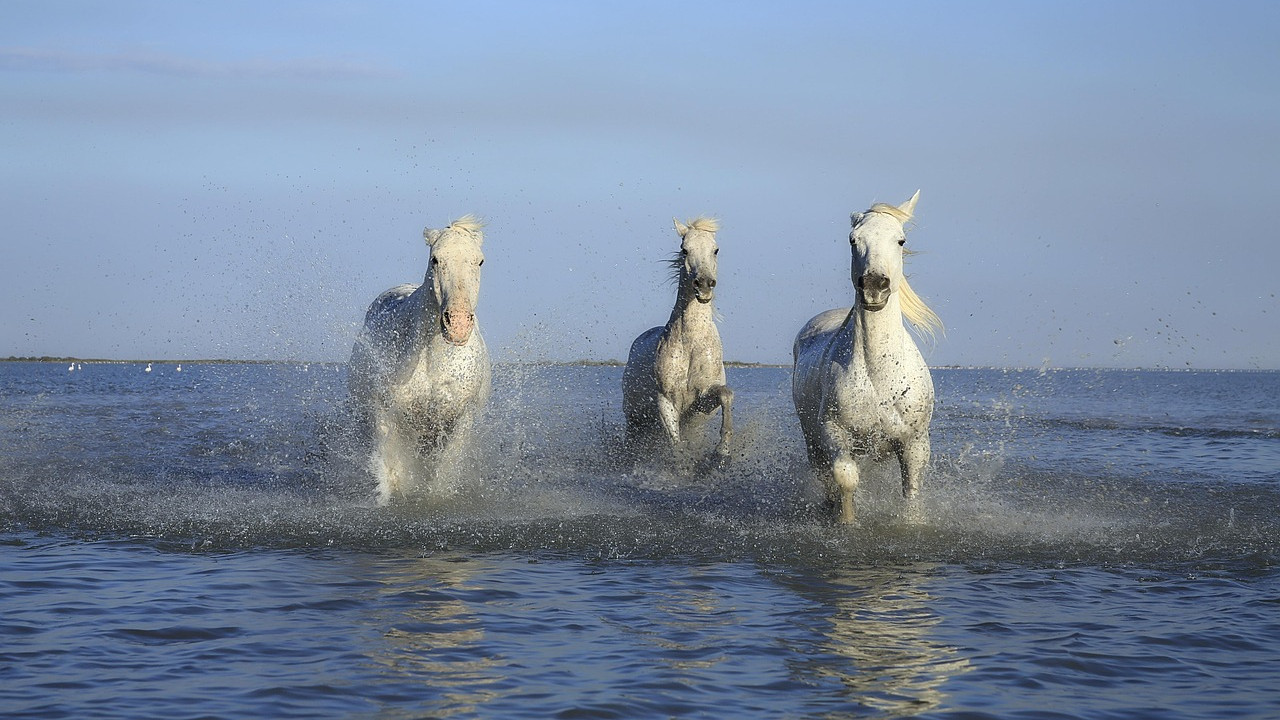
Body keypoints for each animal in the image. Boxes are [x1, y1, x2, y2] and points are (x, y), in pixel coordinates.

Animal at [347, 215, 491, 503]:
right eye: (435, 259)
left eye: (479, 261)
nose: (458, 324)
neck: (433, 360)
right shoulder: (387, 413)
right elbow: (392, 471)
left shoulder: (460, 419)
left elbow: (443, 470)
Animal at [622, 217, 734, 463]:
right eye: (685, 250)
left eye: (716, 250)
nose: (704, 284)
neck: (692, 345)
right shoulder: (666, 401)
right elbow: (676, 445)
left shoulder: (701, 401)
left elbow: (726, 394)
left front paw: (722, 453)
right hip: (634, 419)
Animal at [791, 191, 942, 523]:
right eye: (853, 240)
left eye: (900, 240)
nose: (874, 286)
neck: (879, 374)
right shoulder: (834, 433)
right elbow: (845, 478)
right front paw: (847, 522)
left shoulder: (915, 443)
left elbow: (911, 492)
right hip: (812, 440)